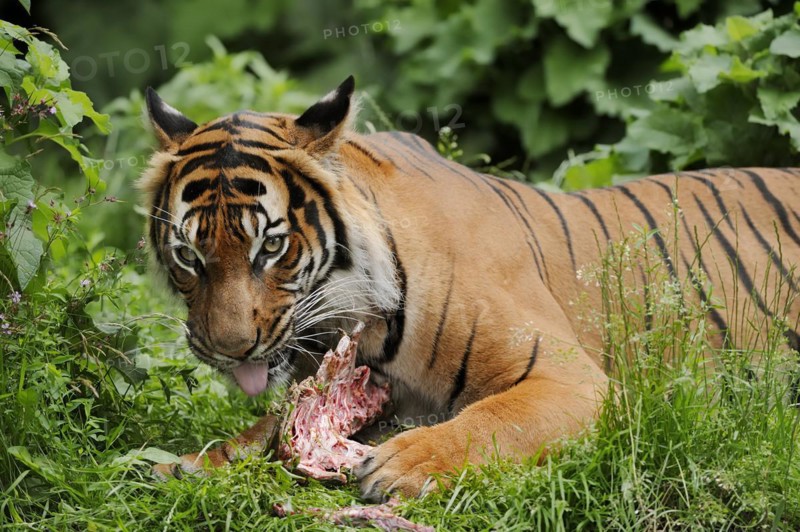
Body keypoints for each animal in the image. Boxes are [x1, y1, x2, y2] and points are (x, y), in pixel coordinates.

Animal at [142, 76, 800, 501]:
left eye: (271, 248)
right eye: (189, 256)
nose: (230, 351)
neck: (366, 323)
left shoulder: (573, 381)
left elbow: (493, 418)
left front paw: (405, 463)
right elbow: (268, 426)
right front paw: (192, 463)